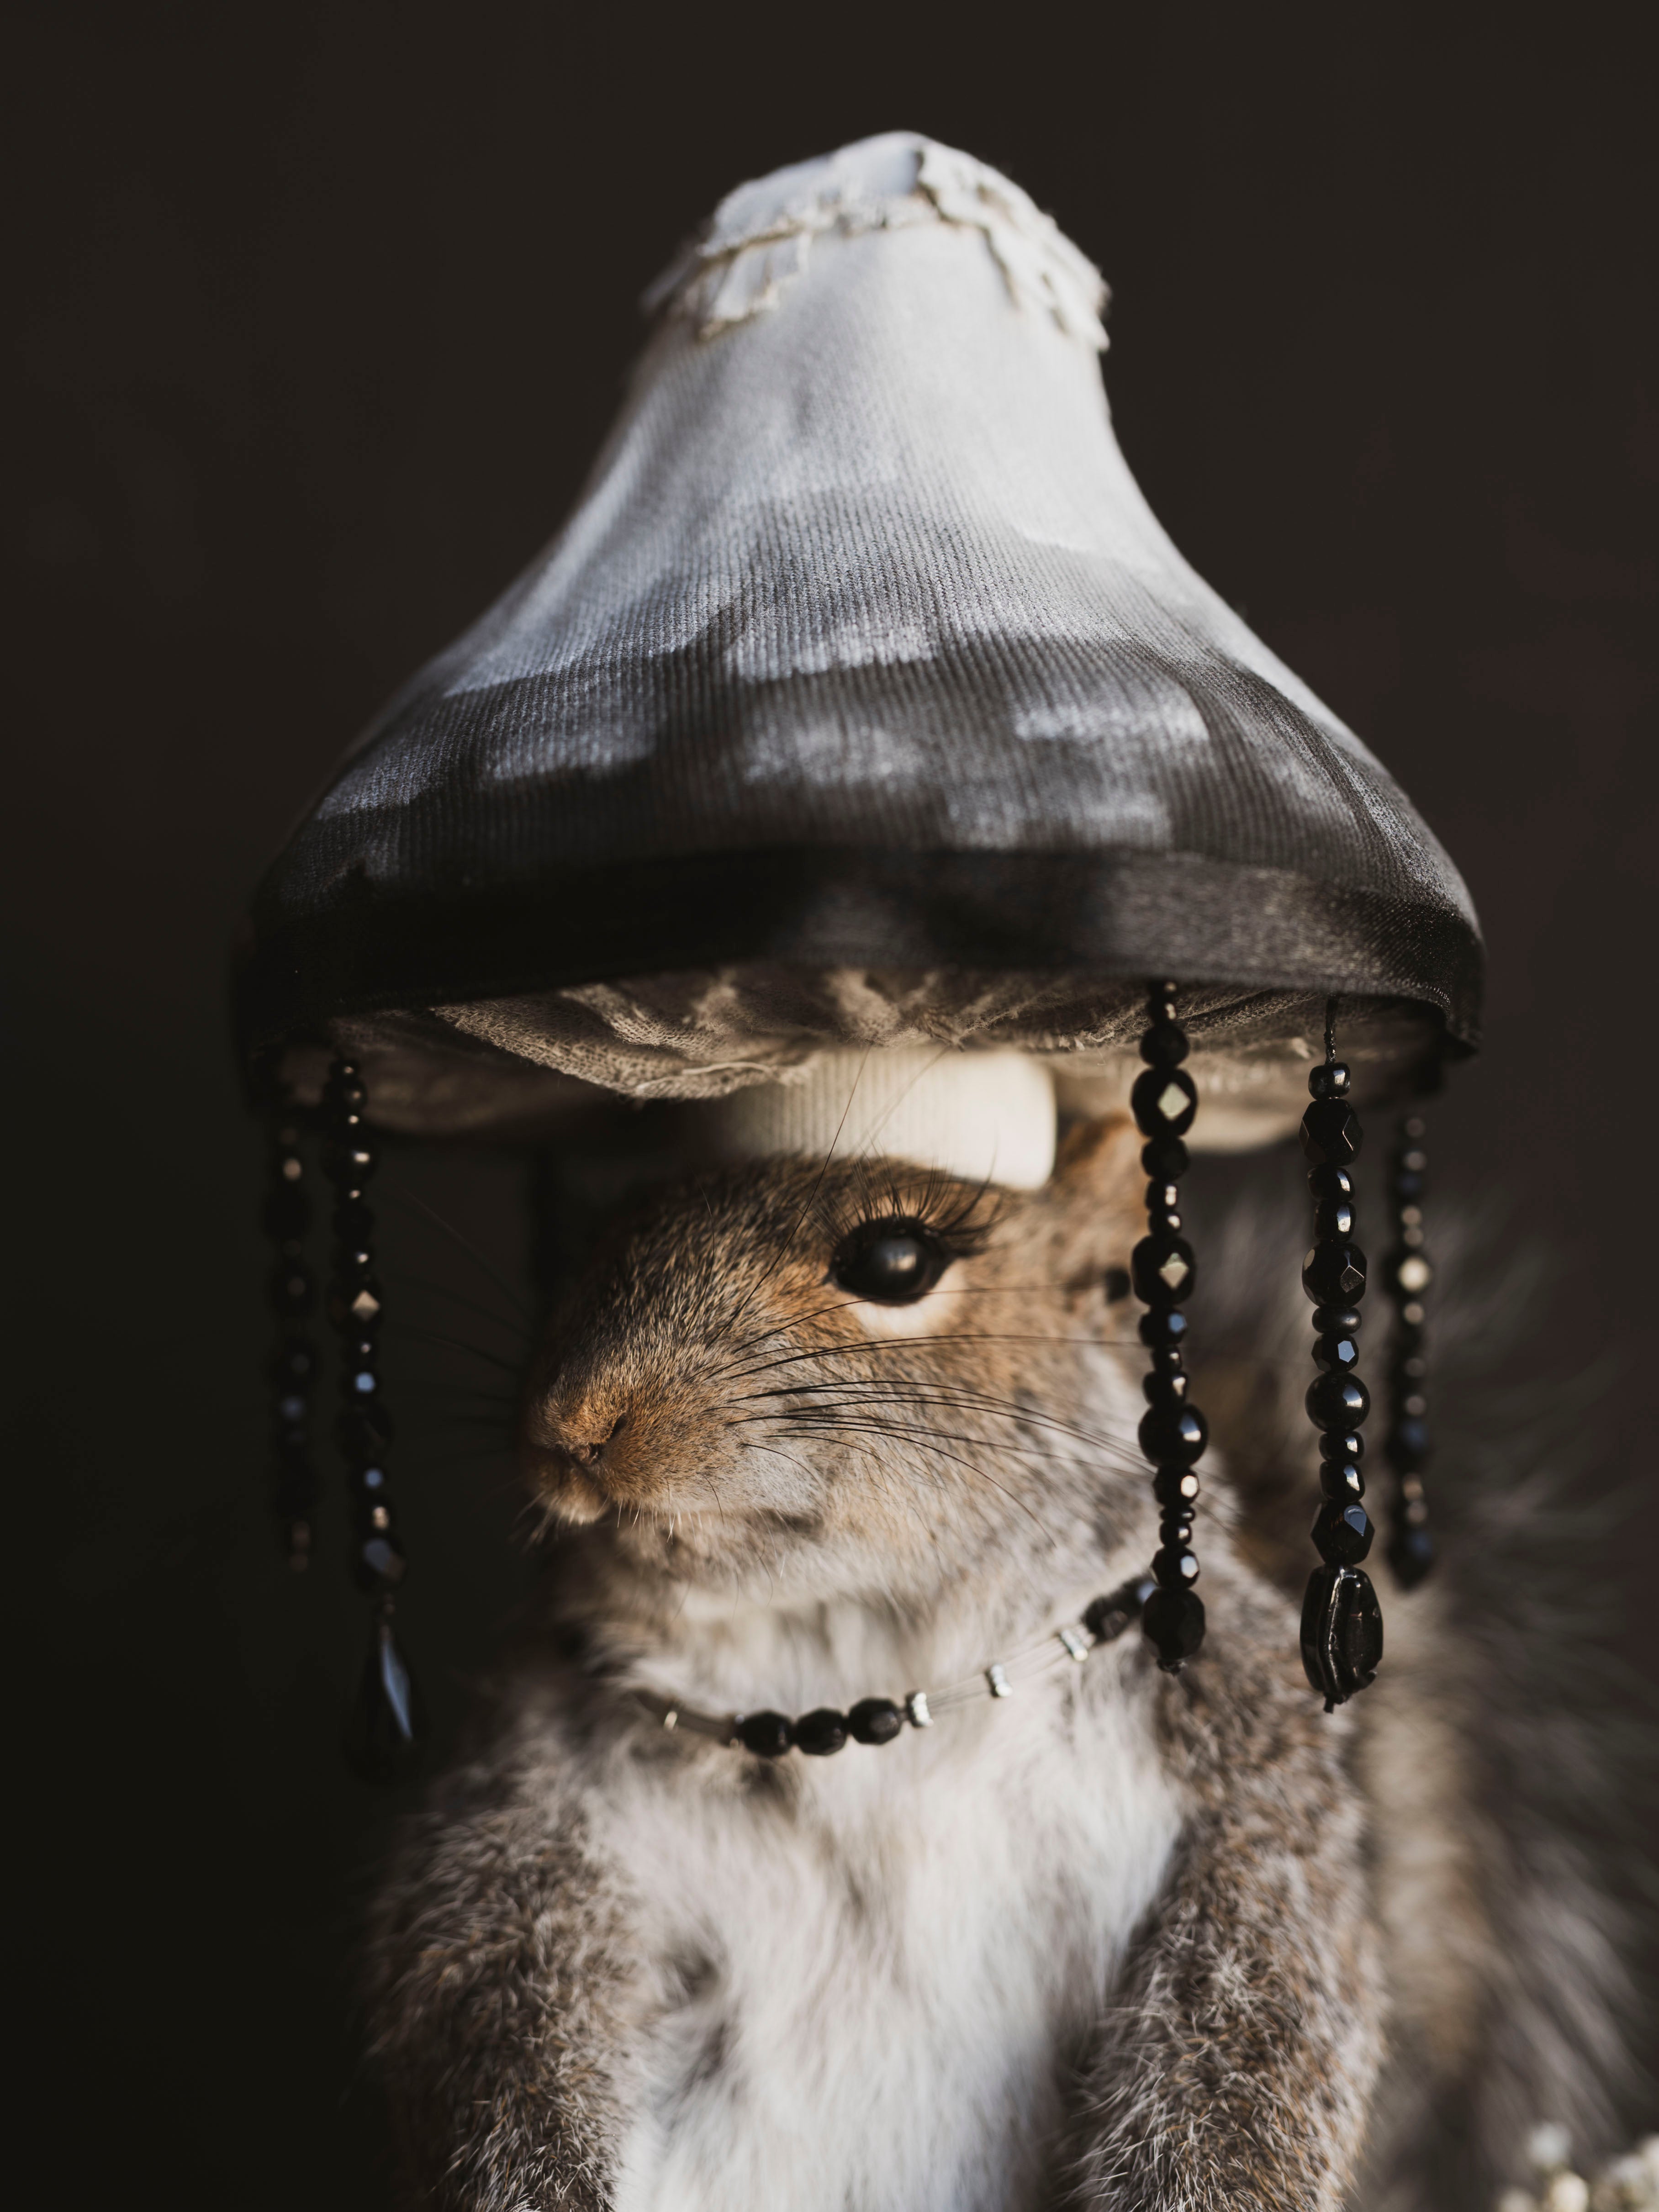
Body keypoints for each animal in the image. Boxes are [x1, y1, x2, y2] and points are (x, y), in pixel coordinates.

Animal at [366, 1112, 1636, 2211]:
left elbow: (1256, 2012)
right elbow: (492, 2009)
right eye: (586, 1238)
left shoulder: (1237, 1769)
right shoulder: (526, 1803)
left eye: (895, 1258)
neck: (851, 1657)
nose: (570, 1424)